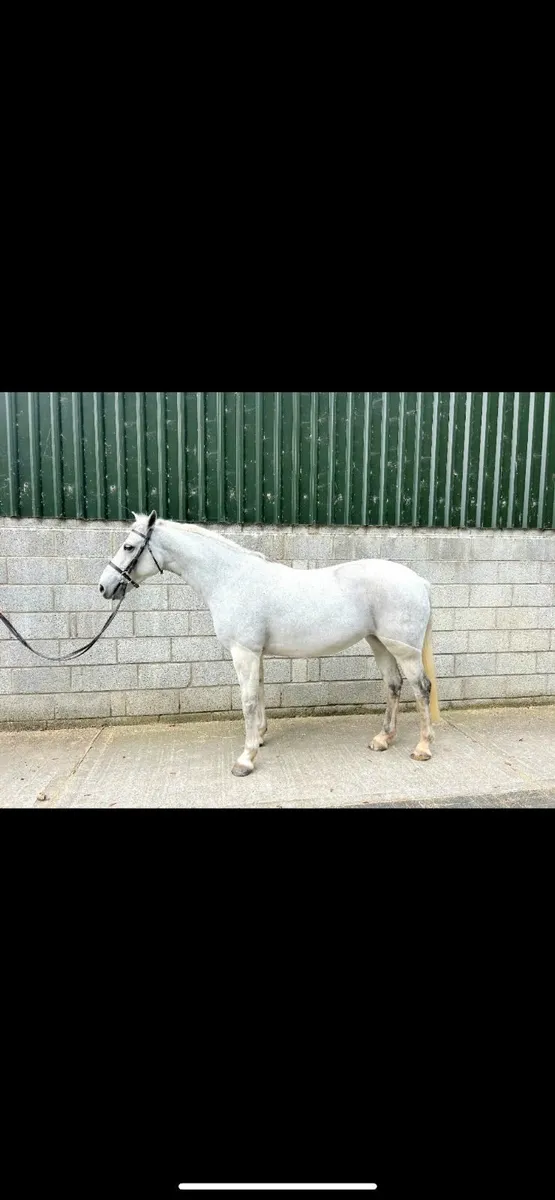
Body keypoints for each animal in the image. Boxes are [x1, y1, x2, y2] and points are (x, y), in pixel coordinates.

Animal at [98, 511, 441, 777]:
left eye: (129, 546)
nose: (104, 586)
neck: (230, 579)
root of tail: (420, 582)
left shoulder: (244, 652)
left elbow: (248, 700)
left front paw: (246, 759)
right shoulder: (255, 653)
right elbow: (260, 692)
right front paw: (260, 737)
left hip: (403, 649)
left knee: (421, 688)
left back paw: (423, 747)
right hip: (379, 642)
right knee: (394, 685)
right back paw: (383, 739)